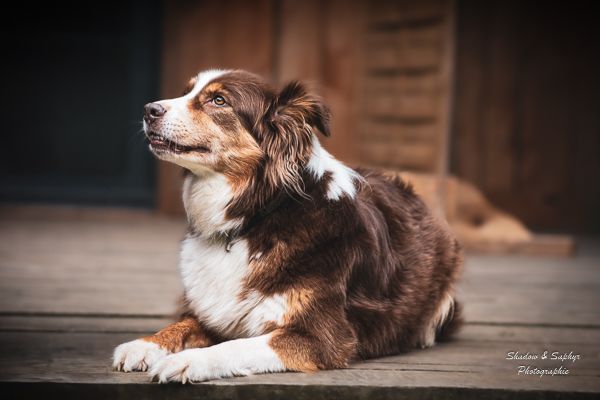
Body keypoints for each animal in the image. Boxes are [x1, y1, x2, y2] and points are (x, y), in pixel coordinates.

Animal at [112, 69, 464, 384]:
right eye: (187, 91)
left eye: (218, 100)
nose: (148, 110)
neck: (255, 216)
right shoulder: (212, 310)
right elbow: (182, 325)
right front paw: (143, 345)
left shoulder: (321, 336)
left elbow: (235, 346)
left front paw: (187, 361)